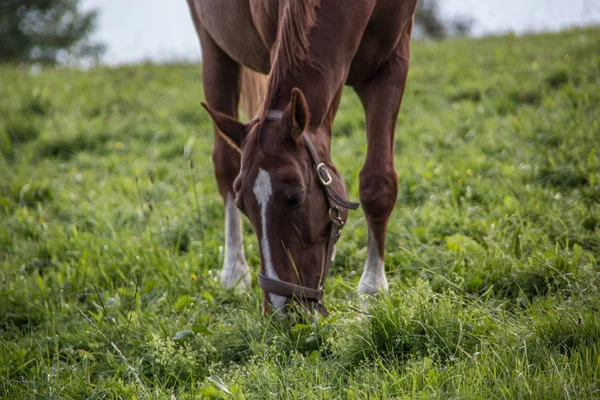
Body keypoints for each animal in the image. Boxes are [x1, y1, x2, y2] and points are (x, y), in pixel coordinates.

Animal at [186, 0, 418, 314]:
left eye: (295, 197)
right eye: (243, 206)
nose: (280, 310)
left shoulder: (391, 65)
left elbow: (378, 182)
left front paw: (373, 292)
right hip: (213, 47)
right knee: (225, 164)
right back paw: (234, 273)